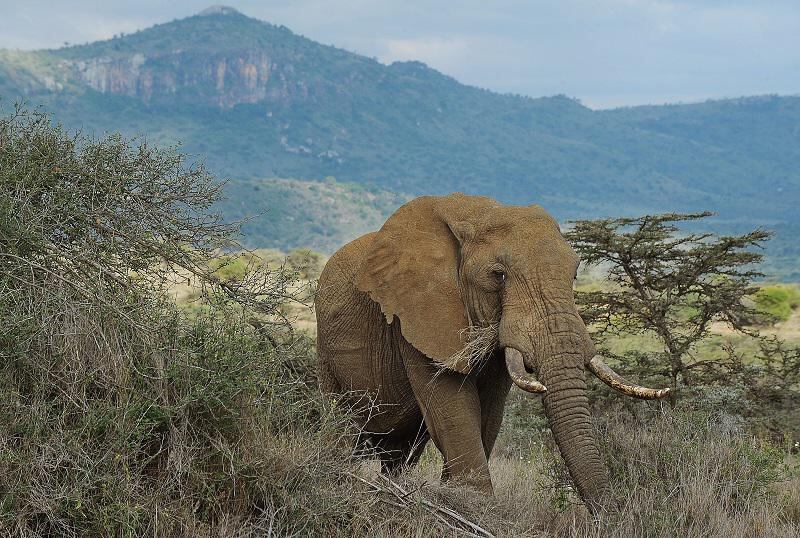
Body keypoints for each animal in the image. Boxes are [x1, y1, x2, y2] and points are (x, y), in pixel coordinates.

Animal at [314, 193, 669, 510]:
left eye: (575, 274)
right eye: (499, 276)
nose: (608, 515)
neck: (476, 214)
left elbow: (488, 413)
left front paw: (459, 500)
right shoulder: (414, 315)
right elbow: (454, 410)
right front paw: (477, 508)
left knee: (402, 452)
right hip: (326, 354)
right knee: (341, 427)